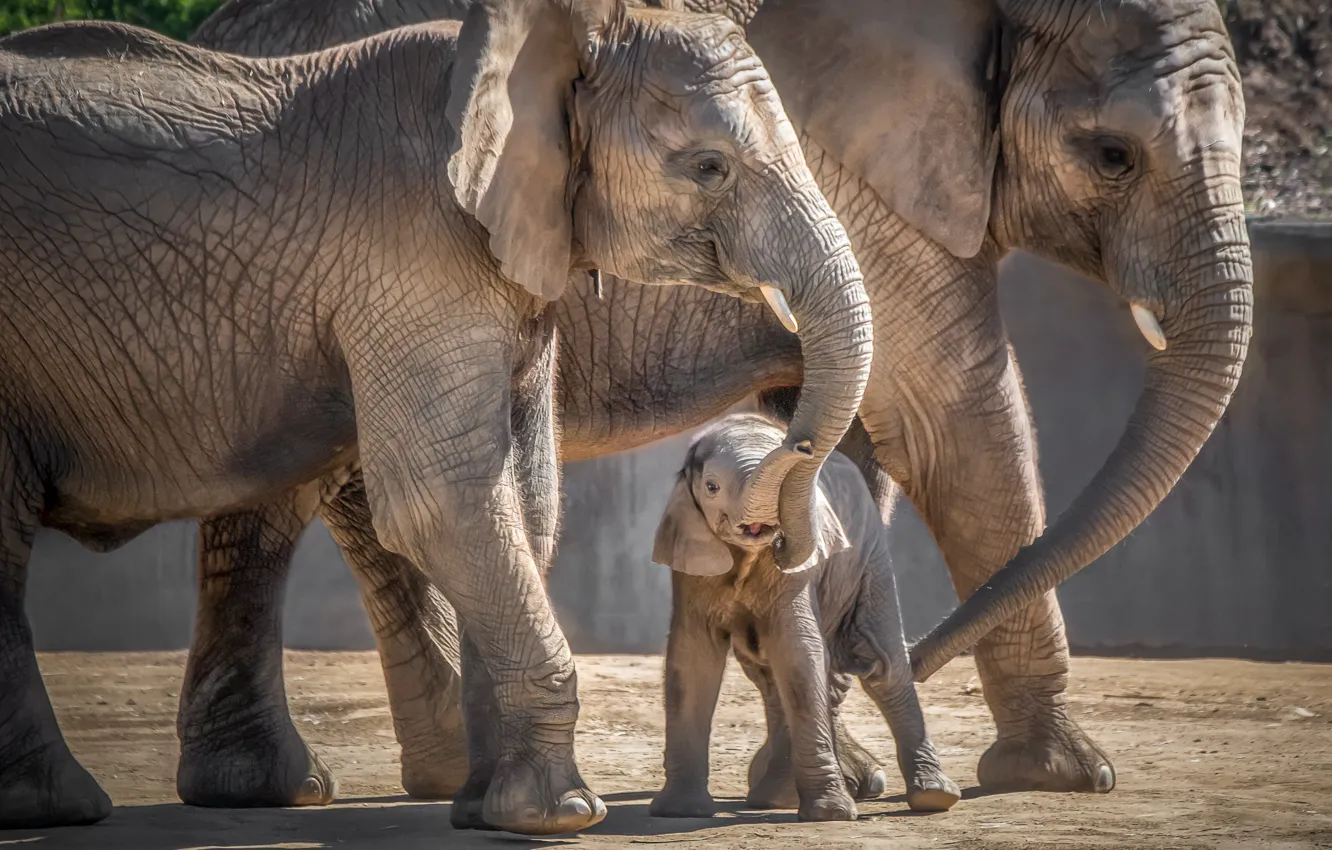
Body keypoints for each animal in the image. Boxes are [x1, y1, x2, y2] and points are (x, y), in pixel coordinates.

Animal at [647, 415, 953, 820]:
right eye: (711, 487)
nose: (803, 446)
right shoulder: (693, 567)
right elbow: (693, 657)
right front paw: (680, 812)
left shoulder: (797, 574)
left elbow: (798, 650)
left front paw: (831, 814)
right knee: (768, 676)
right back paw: (775, 798)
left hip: (870, 553)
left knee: (885, 667)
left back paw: (934, 796)